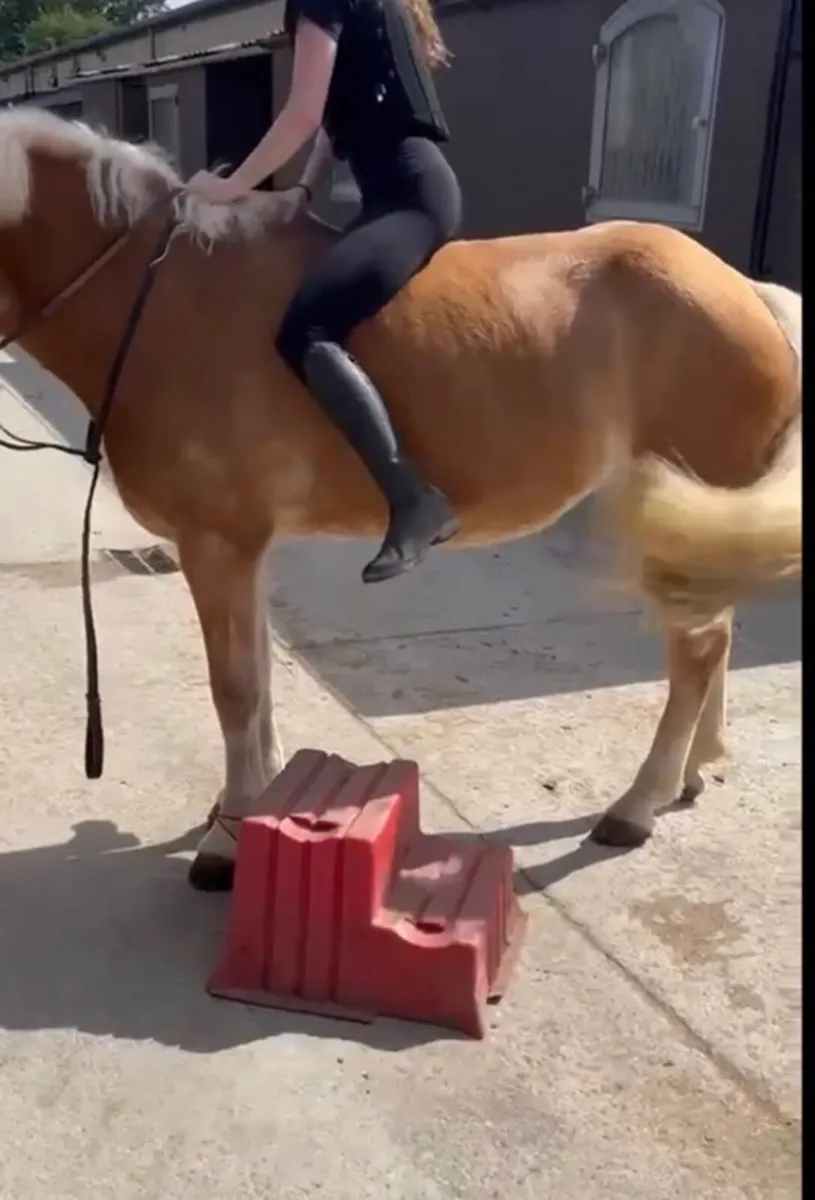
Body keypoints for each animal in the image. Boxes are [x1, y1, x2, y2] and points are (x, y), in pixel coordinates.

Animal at [0, 107, 801, 891]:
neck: (162, 297)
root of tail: (745, 289)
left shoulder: (216, 543)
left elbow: (235, 687)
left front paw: (229, 837)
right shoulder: (243, 548)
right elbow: (258, 676)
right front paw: (250, 804)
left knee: (696, 651)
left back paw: (638, 803)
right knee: (710, 635)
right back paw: (691, 770)